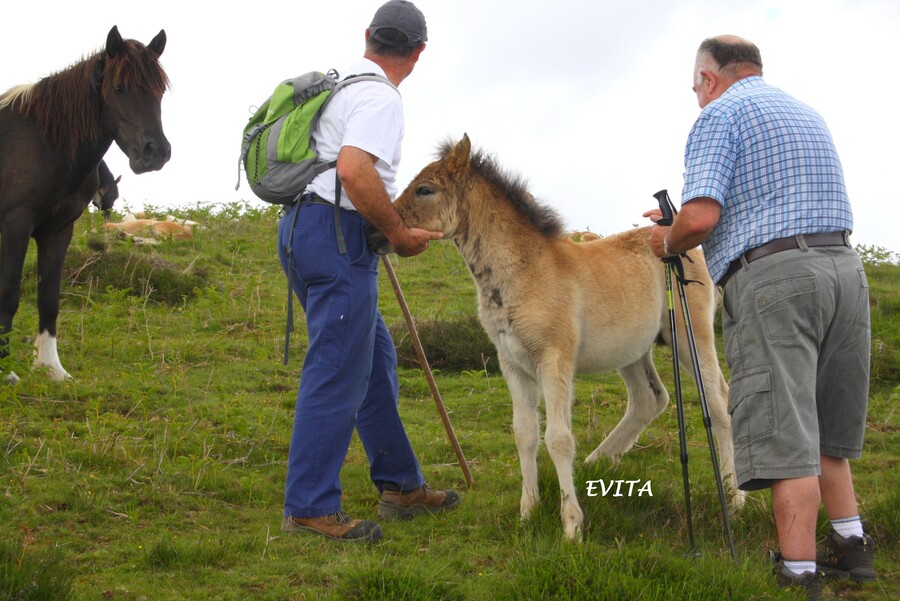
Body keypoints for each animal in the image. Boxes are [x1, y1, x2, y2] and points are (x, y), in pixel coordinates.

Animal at [0, 27, 171, 380]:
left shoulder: (58, 230)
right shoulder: (15, 225)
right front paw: (4, 370)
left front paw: (51, 367)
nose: (155, 153)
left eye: (160, 90)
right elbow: (9, 293)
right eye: (118, 88)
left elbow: (49, 297)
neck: (44, 141)